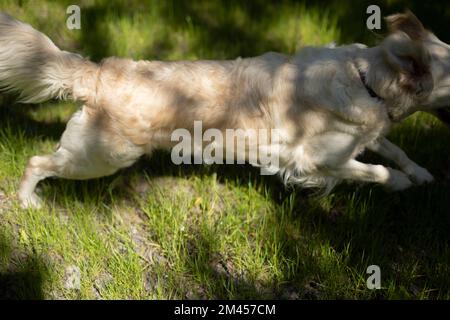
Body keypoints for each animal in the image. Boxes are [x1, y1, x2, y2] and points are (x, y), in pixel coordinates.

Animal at [0, 11, 448, 209]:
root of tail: (97, 73)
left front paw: (421, 172)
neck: (367, 81)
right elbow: (374, 170)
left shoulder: (365, 135)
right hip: (99, 157)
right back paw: (27, 202)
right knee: (36, 162)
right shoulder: (314, 160)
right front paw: (399, 183)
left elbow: (393, 148)